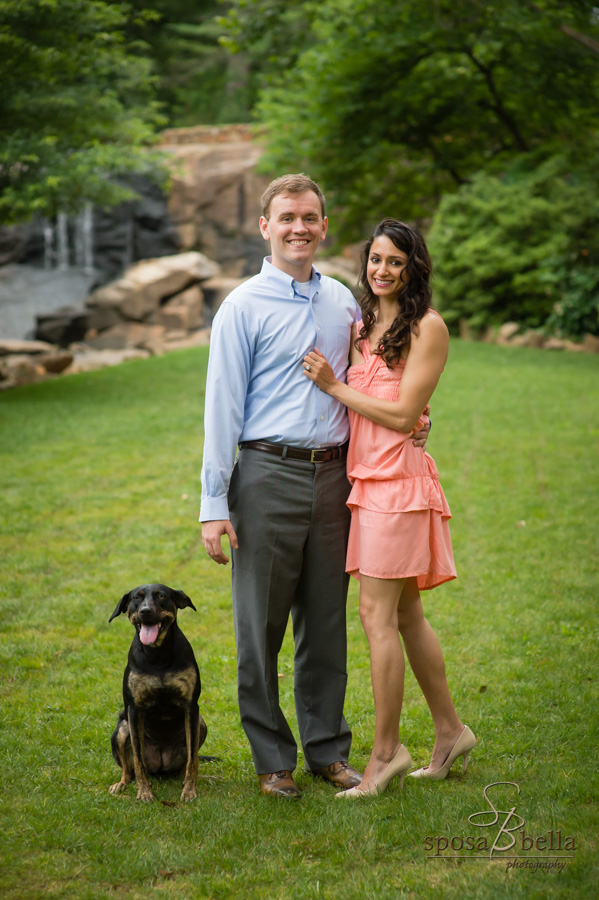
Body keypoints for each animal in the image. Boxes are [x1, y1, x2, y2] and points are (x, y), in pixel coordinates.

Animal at [108, 584, 209, 800]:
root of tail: (161, 767)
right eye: (136, 598)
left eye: (161, 596)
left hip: (201, 723)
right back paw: (121, 785)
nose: (146, 611)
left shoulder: (191, 707)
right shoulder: (135, 710)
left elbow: (193, 760)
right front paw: (144, 793)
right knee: (127, 770)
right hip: (121, 730)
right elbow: (138, 761)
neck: (158, 654)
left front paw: (189, 791)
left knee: (185, 764)